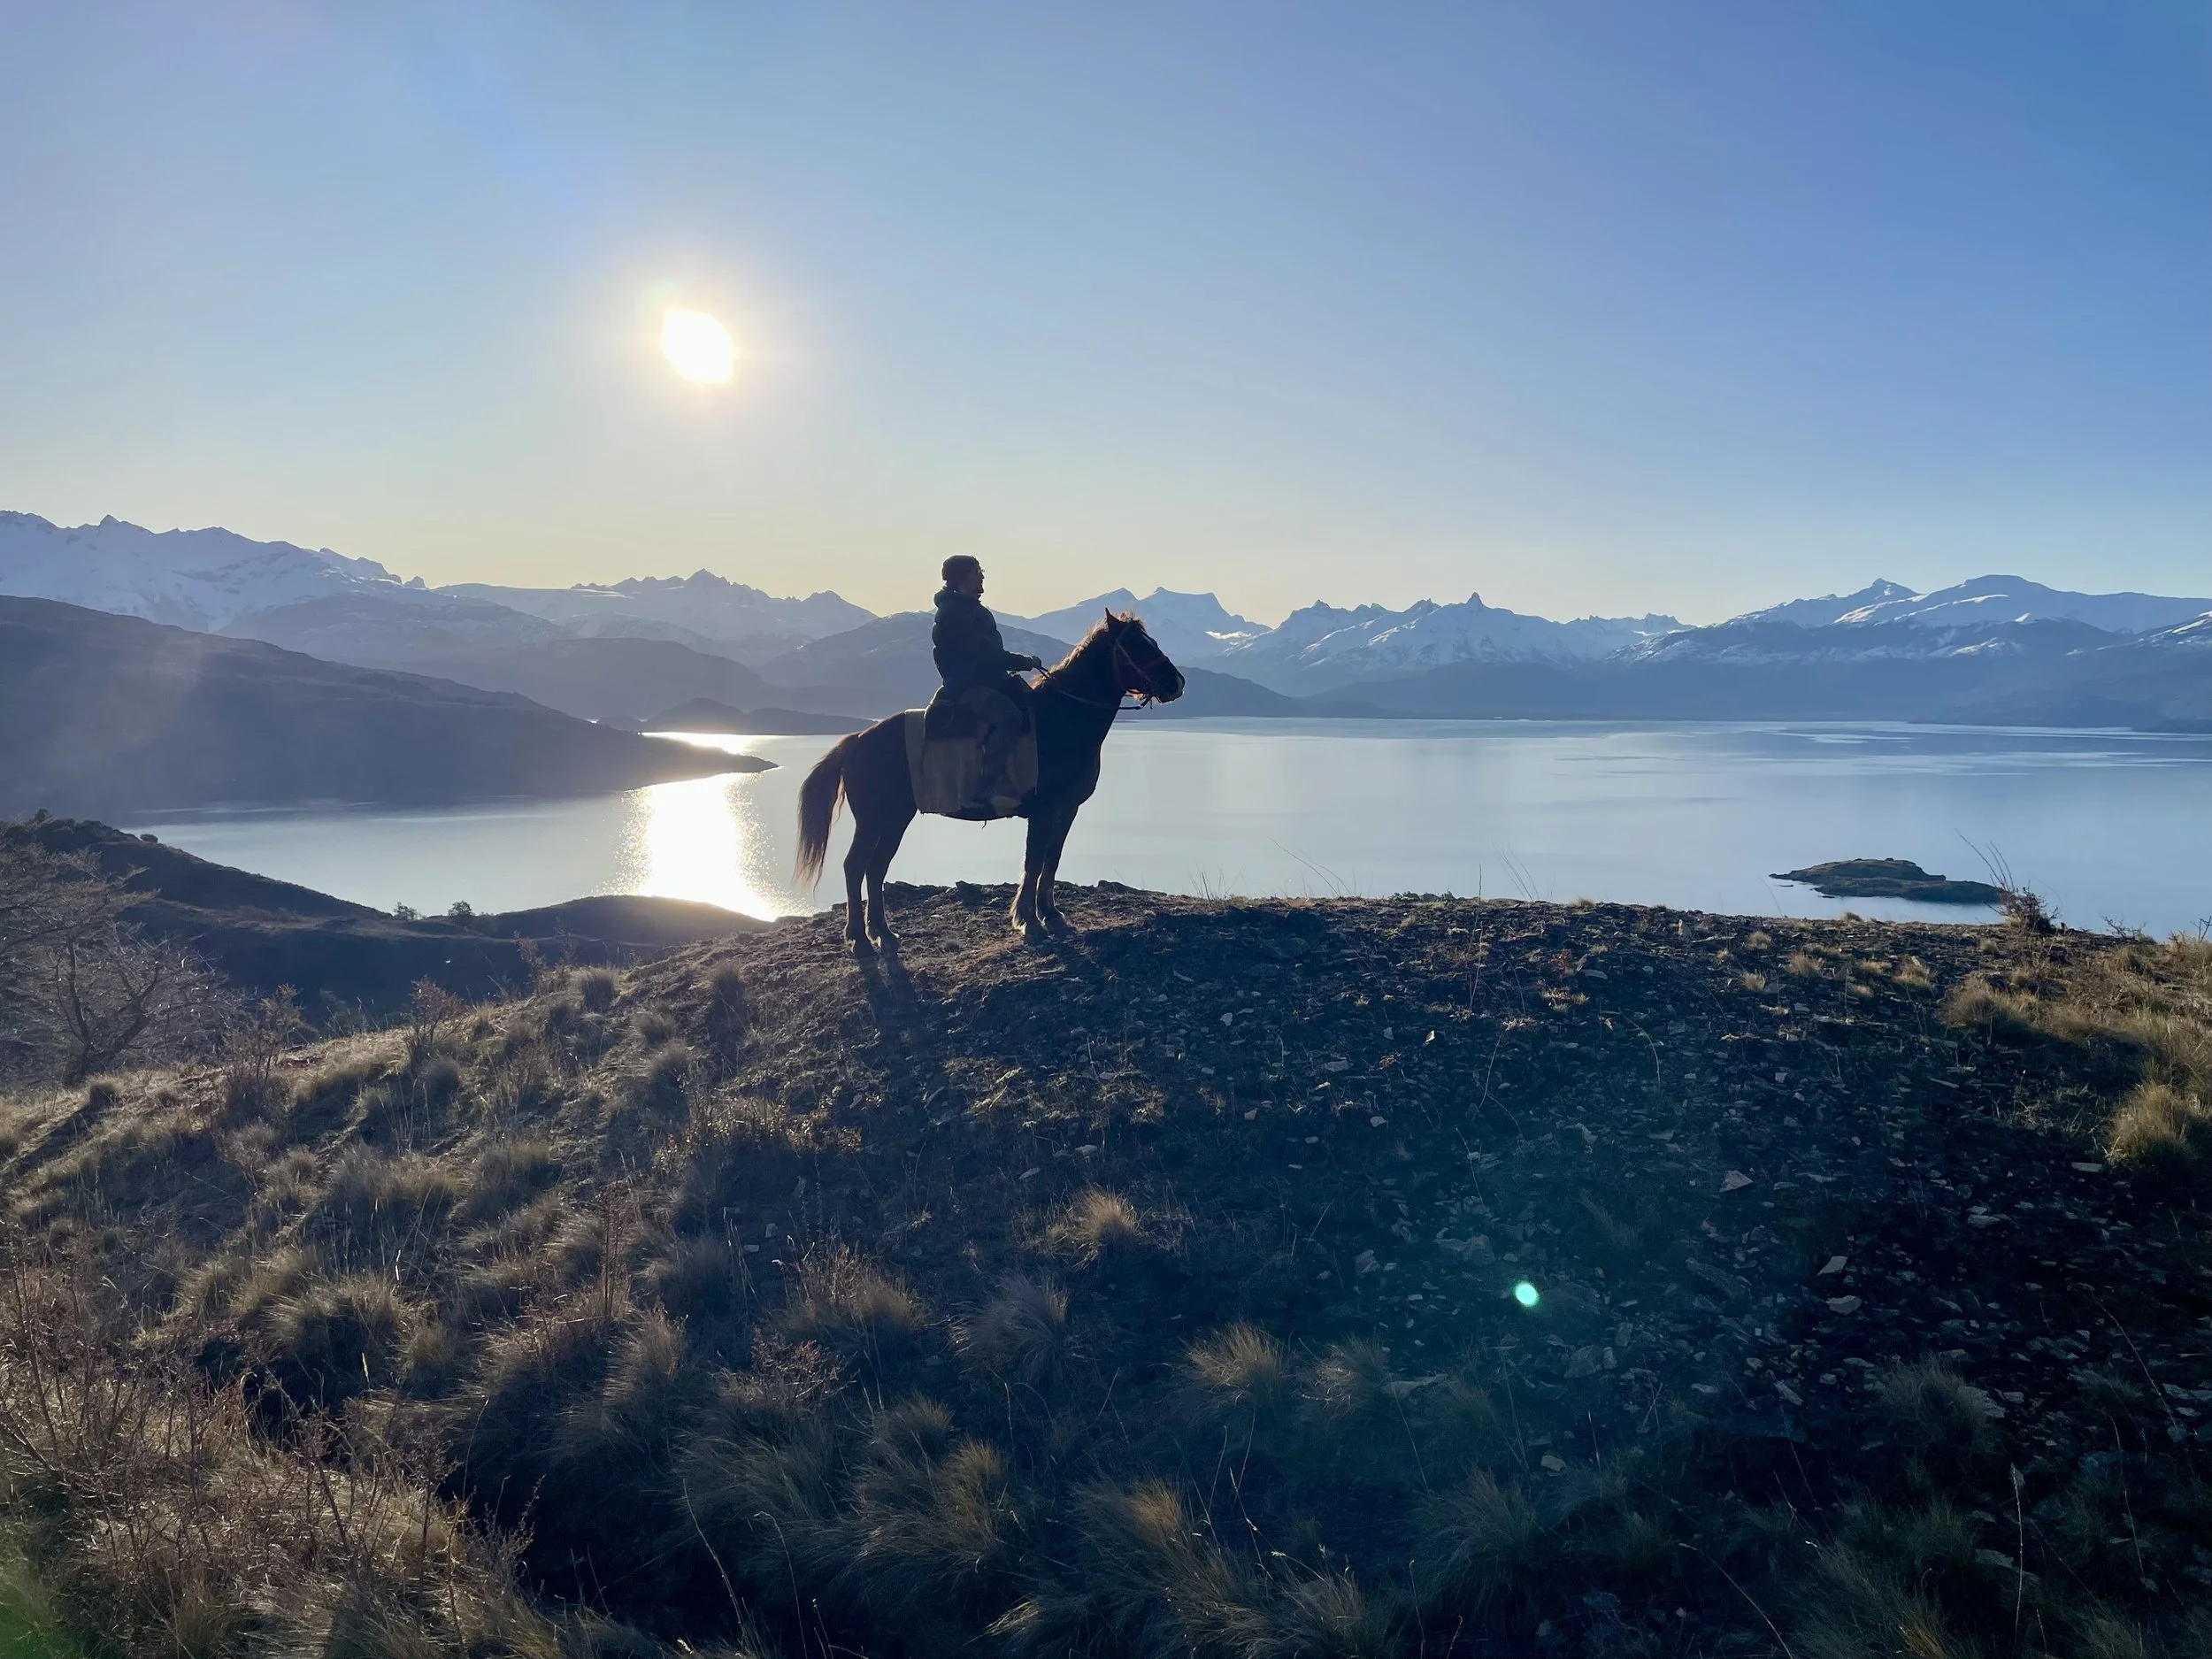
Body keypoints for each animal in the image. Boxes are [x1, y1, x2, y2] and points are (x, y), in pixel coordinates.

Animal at [795, 611, 1185, 951]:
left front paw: (1051, 915)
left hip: (892, 819)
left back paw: (882, 934)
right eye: (1136, 645)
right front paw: (1030, 922)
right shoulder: (1044, 811)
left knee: (874, 869)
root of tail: (858, 739)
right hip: (879, 819)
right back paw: (861, 940)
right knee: (856, 867)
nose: (1177, 683)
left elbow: (1052, 860)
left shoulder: (1067, 810)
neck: (1061, 720)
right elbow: (1033, 862)